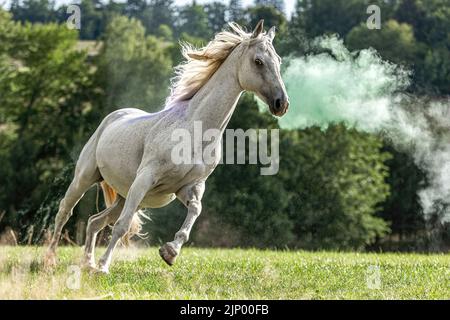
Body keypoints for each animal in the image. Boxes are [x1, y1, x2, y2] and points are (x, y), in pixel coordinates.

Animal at [43, 20, 288, 272]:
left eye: (278, 60)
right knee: (65, 212)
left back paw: (88, 263)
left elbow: (195, 210)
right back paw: (53, 260)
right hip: (86, 179)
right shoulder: (145, 179)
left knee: (94, 221)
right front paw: (104, 267)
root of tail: (114, 116)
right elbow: (122, 226)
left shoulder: (188, 187)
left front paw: (169, 252)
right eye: (258, 61)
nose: (281, 103)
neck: (195, 130)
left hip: (126, 196)